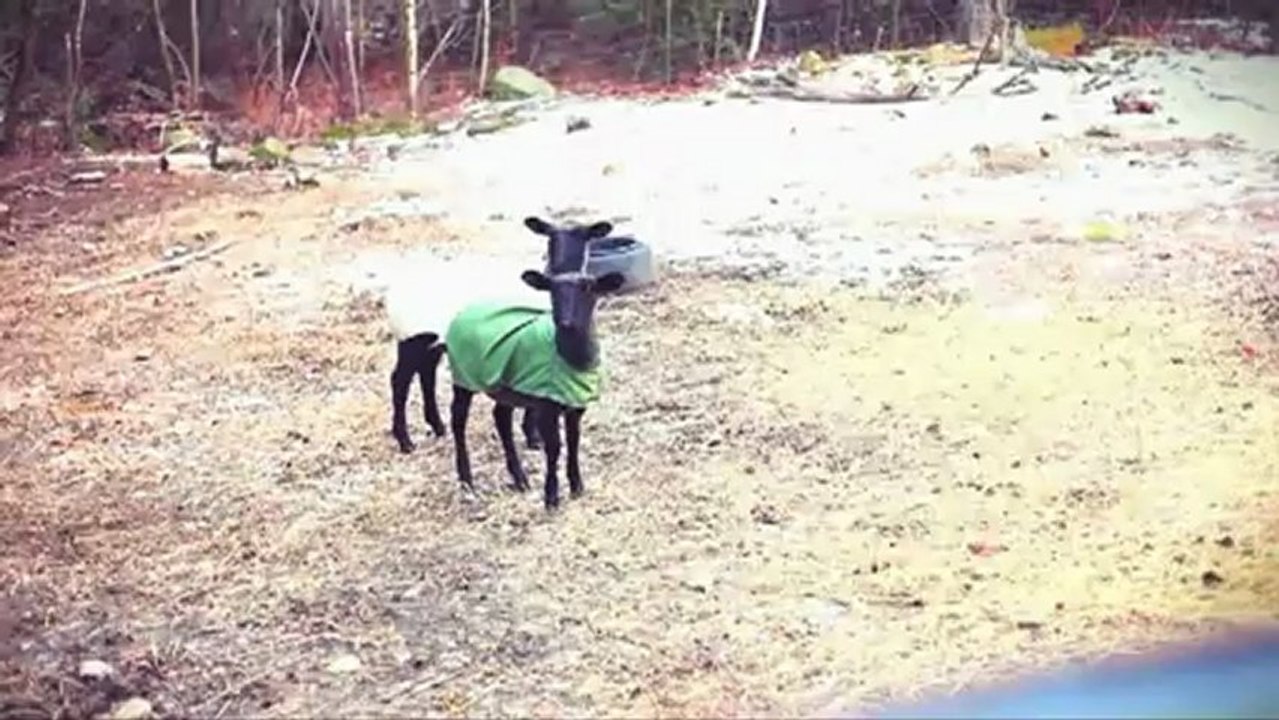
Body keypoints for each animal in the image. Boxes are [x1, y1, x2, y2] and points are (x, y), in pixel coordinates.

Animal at [385, 216, 612, 454]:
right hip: (412, 338)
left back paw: (437, 426)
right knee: (400, 381)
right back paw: (405, 441)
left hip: (432, 342)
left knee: (426, 374)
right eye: (551, 237)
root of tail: (395, 290)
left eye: (584, 236)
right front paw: (533, 438)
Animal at [439, 268, 625, 510]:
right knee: (458, 420)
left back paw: (519, 478)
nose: (565, 323)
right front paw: (551, 497)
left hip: (505, 386)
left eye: (587, 288)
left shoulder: (575, 405)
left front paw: (576, 486)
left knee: (501, 418)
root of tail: (466, 310)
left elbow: (574, 442)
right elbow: (554, 447)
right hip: (463, 377)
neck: (568, 357)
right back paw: (466, 479)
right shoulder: (546, 407)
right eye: (552, 290)